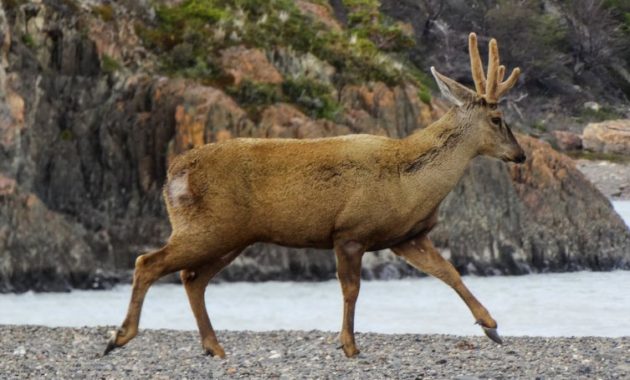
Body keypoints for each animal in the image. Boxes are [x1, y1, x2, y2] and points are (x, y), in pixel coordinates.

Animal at [106, 33, 524, 360]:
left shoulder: (406, 236)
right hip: (209, 226)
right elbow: (351, 289)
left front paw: (492, 326)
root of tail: (173, 172)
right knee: (148, 262)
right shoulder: (351, 231)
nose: (520, 155)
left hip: (231, 235)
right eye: (497, 119)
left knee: (192, 278)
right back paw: (120, 337)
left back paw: (213, 346)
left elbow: (450, 272)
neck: (409, 181)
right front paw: (349, 345)